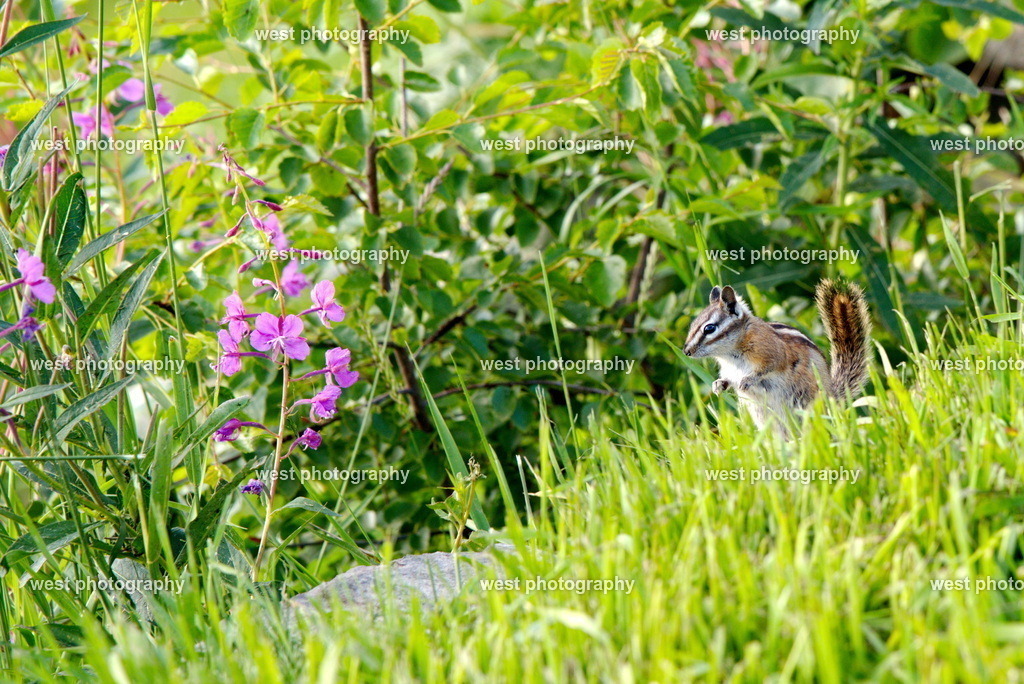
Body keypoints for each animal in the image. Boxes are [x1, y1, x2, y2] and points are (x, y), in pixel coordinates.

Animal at [683, 280, 871, 431]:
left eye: (709, 328)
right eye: (692, 325)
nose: (686, 351)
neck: (730, 354)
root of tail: (833, 399)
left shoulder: (772, 352)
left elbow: (769, 366)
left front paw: (748, 380)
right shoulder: (729, 370)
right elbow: (727, 379)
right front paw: (717, 385)